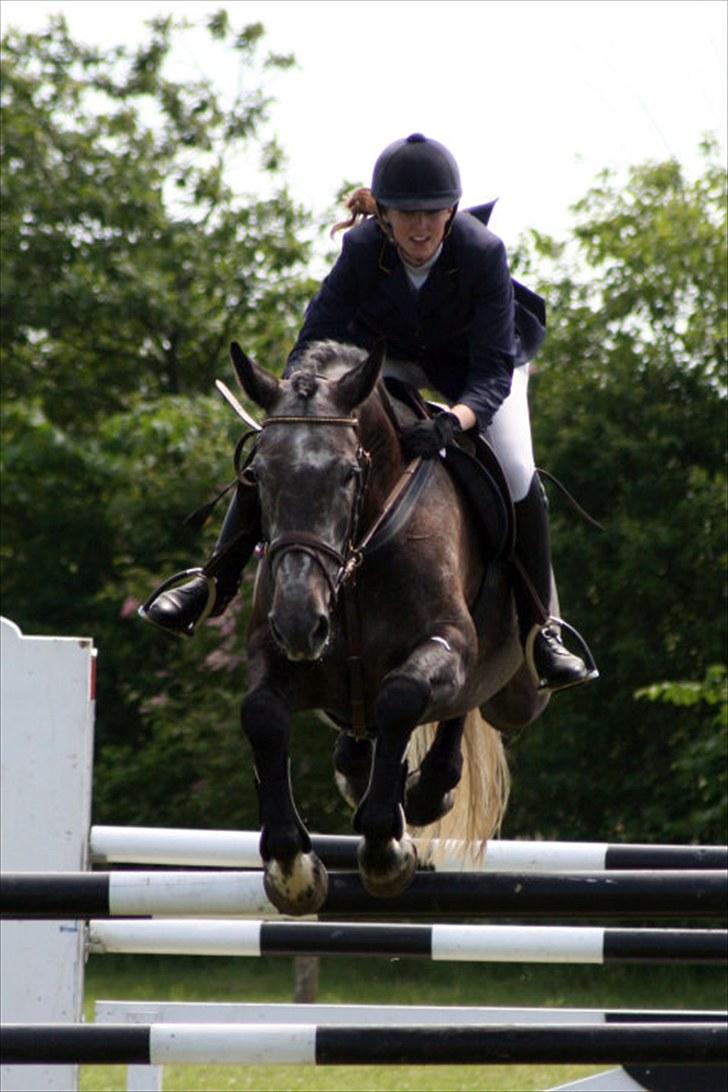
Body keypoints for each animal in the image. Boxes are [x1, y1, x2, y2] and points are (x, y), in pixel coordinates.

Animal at [230, 338, 550, 912]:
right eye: (256, 476)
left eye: (348, 474)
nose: (299, 622)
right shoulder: (272, 651)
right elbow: (262, 715)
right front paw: (291, 865)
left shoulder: (450, 641)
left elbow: (402, 696)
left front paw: (385, 847)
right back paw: (362, 767)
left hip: (518, 693)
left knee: (464, 703)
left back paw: (428, 788)